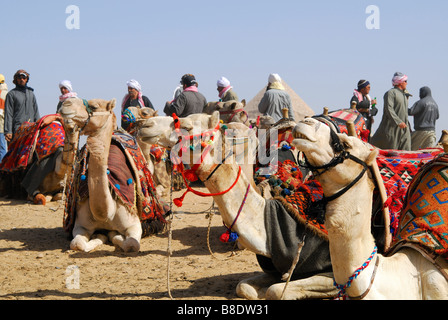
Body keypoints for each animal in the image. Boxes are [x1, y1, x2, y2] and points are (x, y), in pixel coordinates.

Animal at [58, 97, 165, 252]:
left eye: (94, 106)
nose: (66, 103)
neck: (107, 213)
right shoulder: (80, 225)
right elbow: (77, 244)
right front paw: (100, 236)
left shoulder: (133, 223)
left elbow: (131, 244)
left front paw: (112, 234)